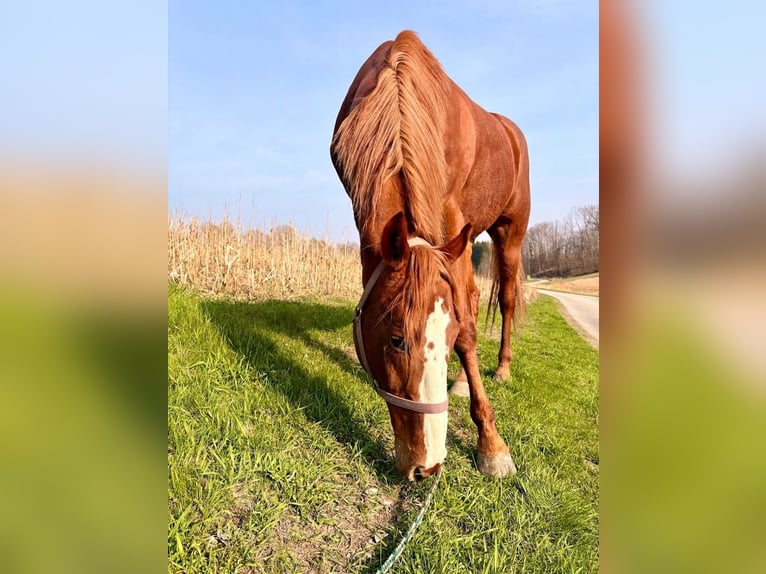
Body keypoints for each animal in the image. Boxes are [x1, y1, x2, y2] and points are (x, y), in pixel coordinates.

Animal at [330, 30, 530, 481]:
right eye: (396, 338)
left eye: (449, 335)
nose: (429, 464)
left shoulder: (453, 218)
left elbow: (471, 326)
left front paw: (492, 446)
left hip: (508, 236)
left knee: (506, 300)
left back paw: (502, 369)